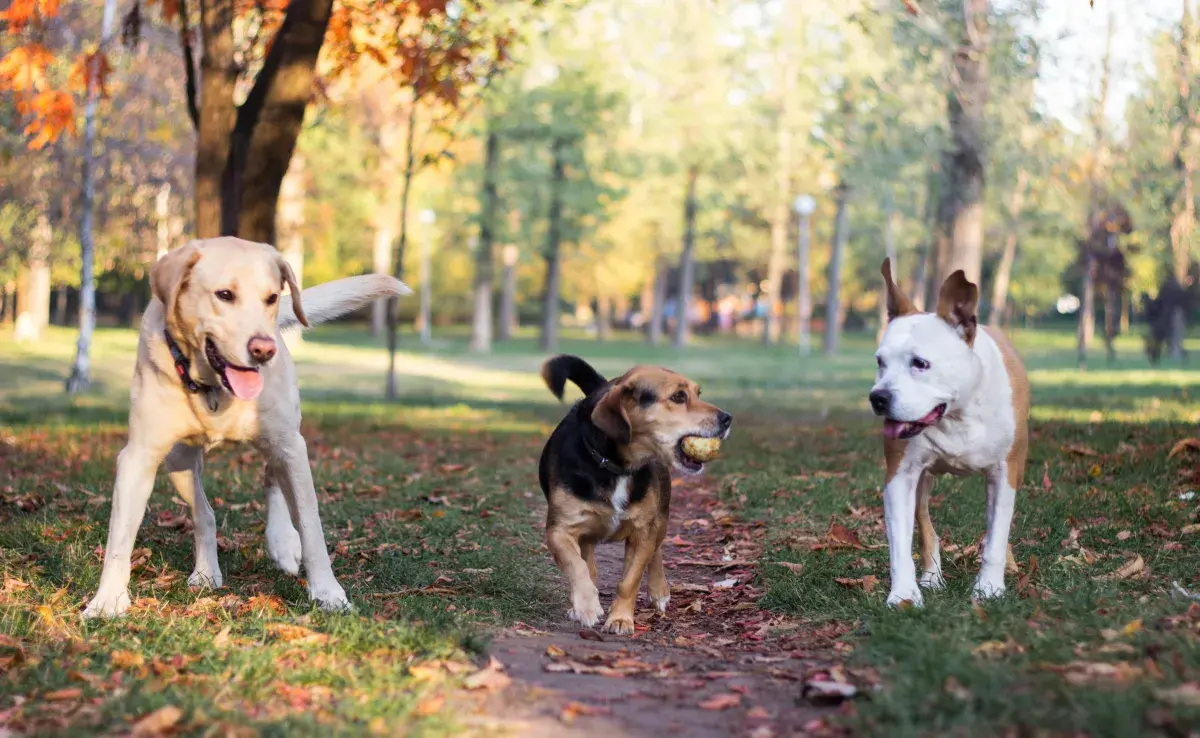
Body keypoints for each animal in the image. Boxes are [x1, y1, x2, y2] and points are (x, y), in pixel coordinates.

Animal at [84, 236, 410, 619]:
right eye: (225, 295)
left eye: (271, 297)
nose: (264, 350)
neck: (214, 387)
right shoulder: (139, 457)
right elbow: (120, 538)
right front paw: (108, 600)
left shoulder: (290, 445)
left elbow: (312, 527)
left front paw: (328, 592)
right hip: (179, 461)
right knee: (205, 514)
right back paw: (206, 571)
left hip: (282, 436)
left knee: (273, 476)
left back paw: (283, 541)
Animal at [542, 357, 729, 633]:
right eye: (678, 396)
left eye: (698, 393)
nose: (728, 418)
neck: (616, 466)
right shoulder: (559, 530)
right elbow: (578, 567)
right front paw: (586, 606)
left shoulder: (643, 533)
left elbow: (629, 580)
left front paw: (620, 618)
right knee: (589, 562)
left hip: (660, 517)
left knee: (656, 550)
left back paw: (659, 590)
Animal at [868, 260, 1027, 607]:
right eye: (880, 362)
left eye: (920, 363)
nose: (878, 397)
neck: (957, 413)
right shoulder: (900, 476)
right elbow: (900, 544)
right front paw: (903, 594)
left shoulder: (1005, 473)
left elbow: (996, 536)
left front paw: (989, 587)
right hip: (922, 482)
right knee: (926, 527)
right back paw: (931, 576)